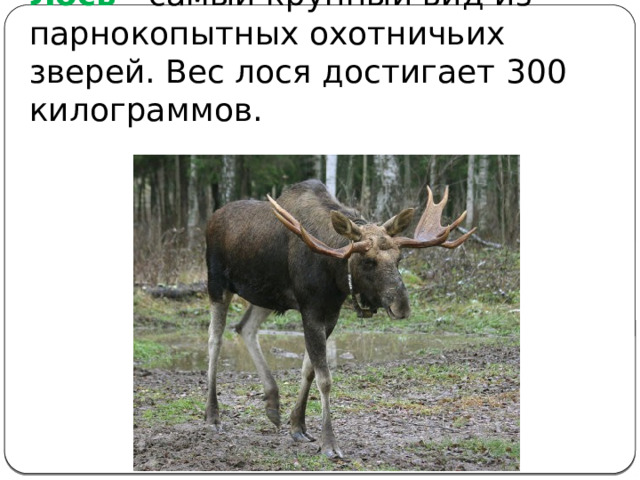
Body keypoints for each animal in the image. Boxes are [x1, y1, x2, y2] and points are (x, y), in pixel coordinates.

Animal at [204, 179, 475, 459]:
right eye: (368, 261)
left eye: (399, 258)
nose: (401, 306)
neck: (334, 271)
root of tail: (212, 219)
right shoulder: (310, 308)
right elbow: (324, 379)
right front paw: (329, 443)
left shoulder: (331, 313)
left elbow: (308, 370)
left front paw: (297, 425)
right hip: (217, 283)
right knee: (215, 340)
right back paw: (213, 416)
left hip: (265, 296)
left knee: (245, 328)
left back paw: (272, 403)